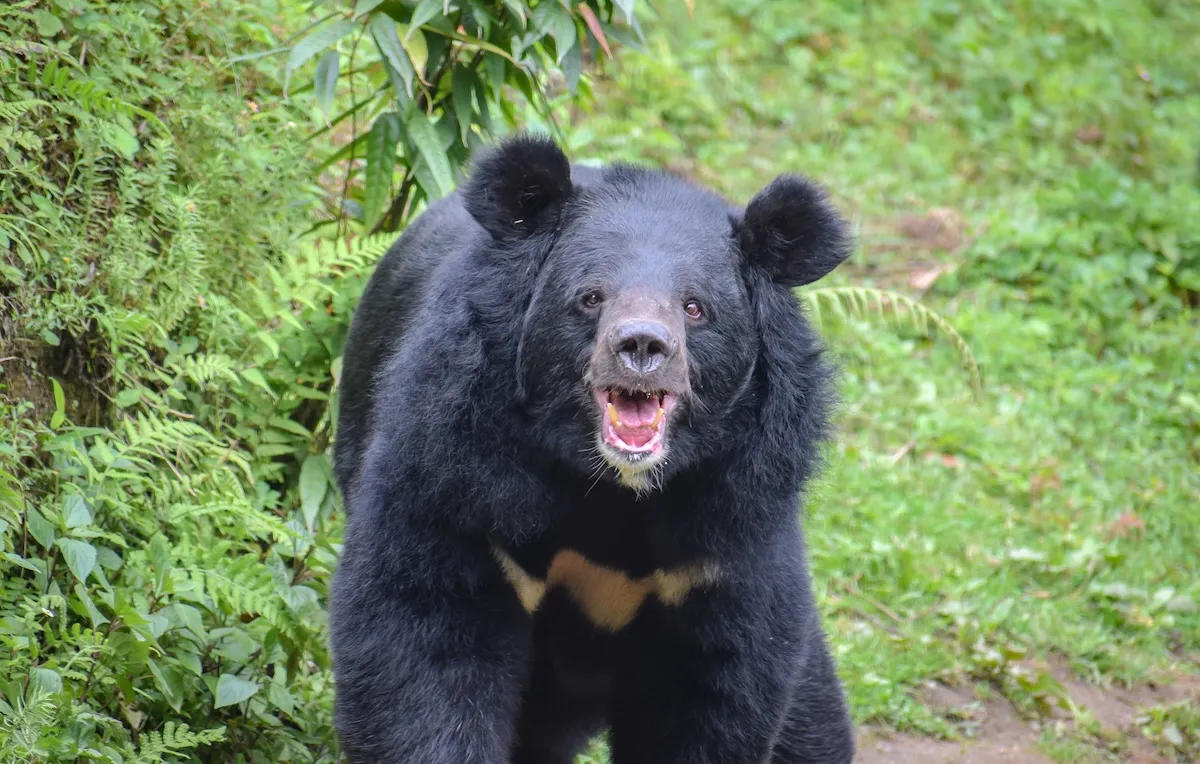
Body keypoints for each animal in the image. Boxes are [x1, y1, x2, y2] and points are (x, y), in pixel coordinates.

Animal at [329, 133, 855, 764]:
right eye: (590, 297)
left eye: (695, 307)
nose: (642, 346)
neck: (611, 487)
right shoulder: (460, 472)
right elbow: (424, 635)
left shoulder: (729, 530)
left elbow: (714, 689)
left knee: (812, 725)